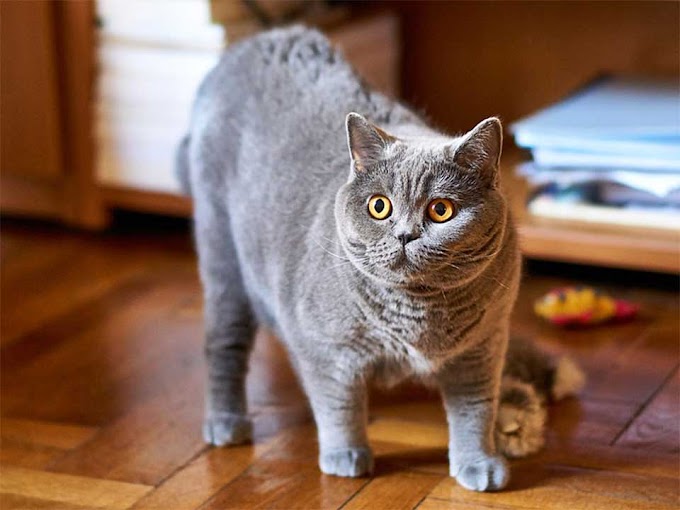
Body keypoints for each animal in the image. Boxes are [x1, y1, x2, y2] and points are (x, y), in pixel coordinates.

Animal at [177, 25, 584, 492]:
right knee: (223, 344)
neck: (419, 312)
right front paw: (345, 456)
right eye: (379, 207)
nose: (405, 235)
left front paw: (479, 464)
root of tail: (251, 44)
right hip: (222, 254)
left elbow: (475, 410)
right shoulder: (326, 349)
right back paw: (226, 424)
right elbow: (338, 403)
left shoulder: (481, 348)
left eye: (440, 210)